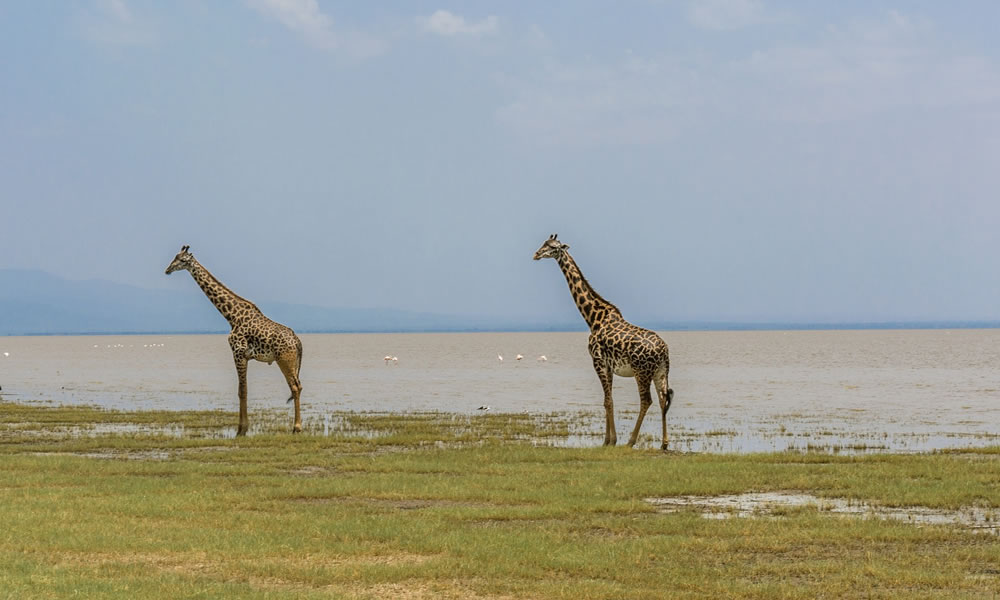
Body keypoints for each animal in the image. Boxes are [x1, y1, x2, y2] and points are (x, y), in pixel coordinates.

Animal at [164, 244, 302, 436]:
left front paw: (241, 430)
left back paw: (297, 427)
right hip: (293, 361)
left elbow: (242, 391)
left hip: (284, 360)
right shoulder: (244, 356)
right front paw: (242, 428)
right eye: (174, 257)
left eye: (182, 260)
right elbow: (242, 390)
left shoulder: (238, 353)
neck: (231, 316)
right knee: (299, 386)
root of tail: (297, 341)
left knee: (294, 387)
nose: (168, 269)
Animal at [532, 234, 672, 450]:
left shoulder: (597, 361)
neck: (593, 318)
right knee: (663, 398)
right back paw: (664, 444)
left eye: (553, 247)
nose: (536, 254)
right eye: (544, 244)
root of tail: (664, 351)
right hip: (661, 372)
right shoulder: (609, 365)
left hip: (642, 372)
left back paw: (630, 441)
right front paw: (607, 440)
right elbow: (609, 399)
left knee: (646, 400)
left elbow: (607, 401)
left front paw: (611, 441)